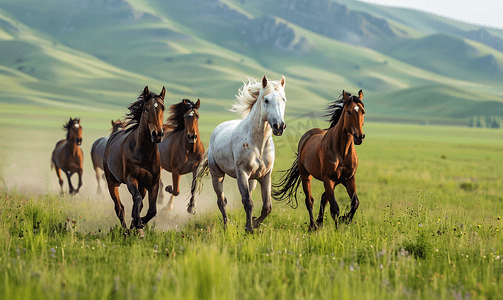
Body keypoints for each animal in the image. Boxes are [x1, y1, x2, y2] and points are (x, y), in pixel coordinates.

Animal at [103, 85, 166, 237]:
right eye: (146, 109)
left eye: (163, 108)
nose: (157, 134)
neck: (144, 154)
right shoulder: (131, 178)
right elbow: (137, 199)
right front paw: (138, 225)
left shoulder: (153, 183)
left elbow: (151, 210)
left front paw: (139, 223)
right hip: (112, 183)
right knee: (119, 208)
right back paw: (126, 231)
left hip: (142, 186)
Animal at [195, 75, 288, 232]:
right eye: (266, 100)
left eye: (284, 99)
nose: (279, 126)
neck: (258, 144)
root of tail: (217, 130)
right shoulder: (242, 173)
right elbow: (248, 203)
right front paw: (249, 229)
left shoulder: (265, 176)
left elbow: (267, 207)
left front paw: (254, 224)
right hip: (217, 175)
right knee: (221, 201)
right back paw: (226, 226)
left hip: (252, 180)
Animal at [276, 90, 366, 231]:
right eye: (348, 112)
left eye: (363, 111)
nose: (359, 137)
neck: (342, 151)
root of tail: (306, 137)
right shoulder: (328, 178)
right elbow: (335, 208)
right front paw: (338, 228)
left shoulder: (349, 178)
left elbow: (355, 203)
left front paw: (345, 220)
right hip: (306, 176)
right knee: (310, 201)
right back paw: (312, 226)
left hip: (336, 181)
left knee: (324, 197)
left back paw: (319, 222)